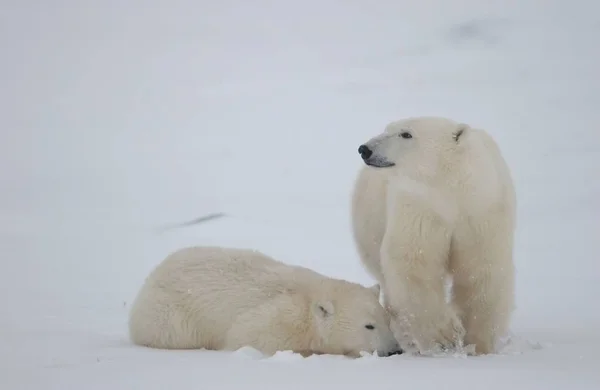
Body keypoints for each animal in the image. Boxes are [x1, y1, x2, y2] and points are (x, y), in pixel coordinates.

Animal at [130, 245, 404, 358]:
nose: (394, 350)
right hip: (170, 316)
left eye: (387, 320)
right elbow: (249, 338)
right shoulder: (278, 319)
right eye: (369, 325)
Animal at [352, 116, 516, 356]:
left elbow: (481, 269)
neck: (451, 190)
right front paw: (446, 336)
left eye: (406, 134)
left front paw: (478, 344)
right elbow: (415, 262)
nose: (365, 149)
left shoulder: (481, 211)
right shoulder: (421, 207)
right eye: (387, 129)